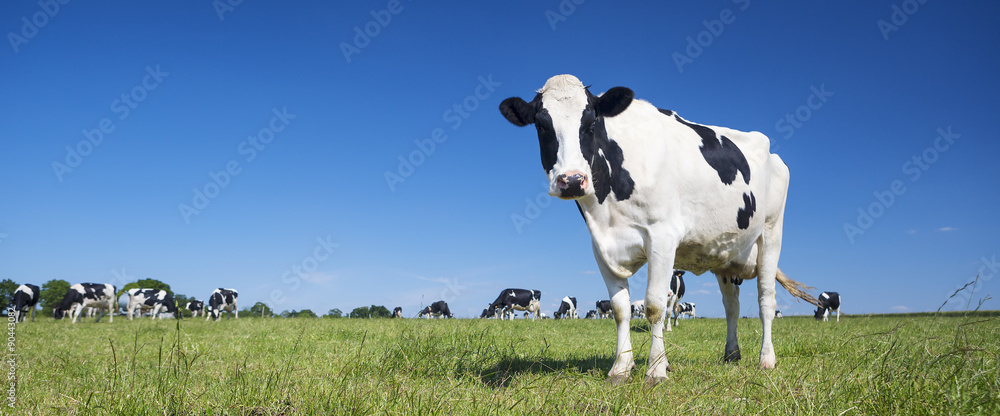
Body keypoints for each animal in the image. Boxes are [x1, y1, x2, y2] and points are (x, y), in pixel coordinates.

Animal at [504, 74, 816, 384]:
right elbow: (620, 310)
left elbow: (654, 307)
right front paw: (621, 368)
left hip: (771, 233)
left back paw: (766, 359)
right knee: (731, 306)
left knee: (766, 300)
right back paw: (731, 354)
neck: (607, 212)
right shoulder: (600, 247)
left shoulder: (663, 237)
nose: (571, 180)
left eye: (591, 125)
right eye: (541, 126)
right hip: (725, 257)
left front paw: (655, 370)